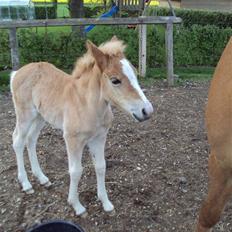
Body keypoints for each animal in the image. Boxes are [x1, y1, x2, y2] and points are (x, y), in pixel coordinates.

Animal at [10, 36, 153, 216]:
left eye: (135, 74)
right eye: (115, 80)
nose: (147, 111)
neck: (87, 105)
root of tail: (17, 73)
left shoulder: (99, 138)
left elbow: (101, 166)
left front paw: (106, 203)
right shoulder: (72, 139)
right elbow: (76, 171)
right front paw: (77, 206)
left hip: (40, 116)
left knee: (31, 140)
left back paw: (42, 178)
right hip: (25, 115)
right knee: (18, 140)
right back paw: (26, 184)